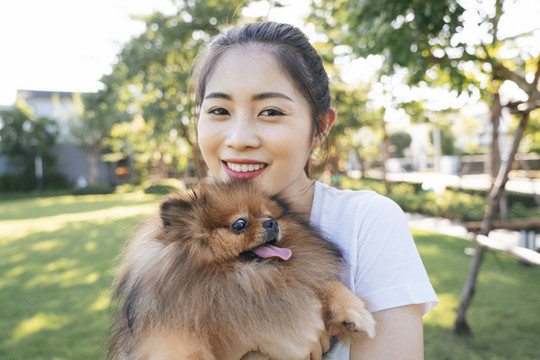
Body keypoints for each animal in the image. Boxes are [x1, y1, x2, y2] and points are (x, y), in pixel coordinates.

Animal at [107, 181, 374, 358]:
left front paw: (357, 315)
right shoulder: (166, 332)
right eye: (239, 224)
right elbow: (183, 348)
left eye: (269, 215)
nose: (272, 223)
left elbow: (329, 285)